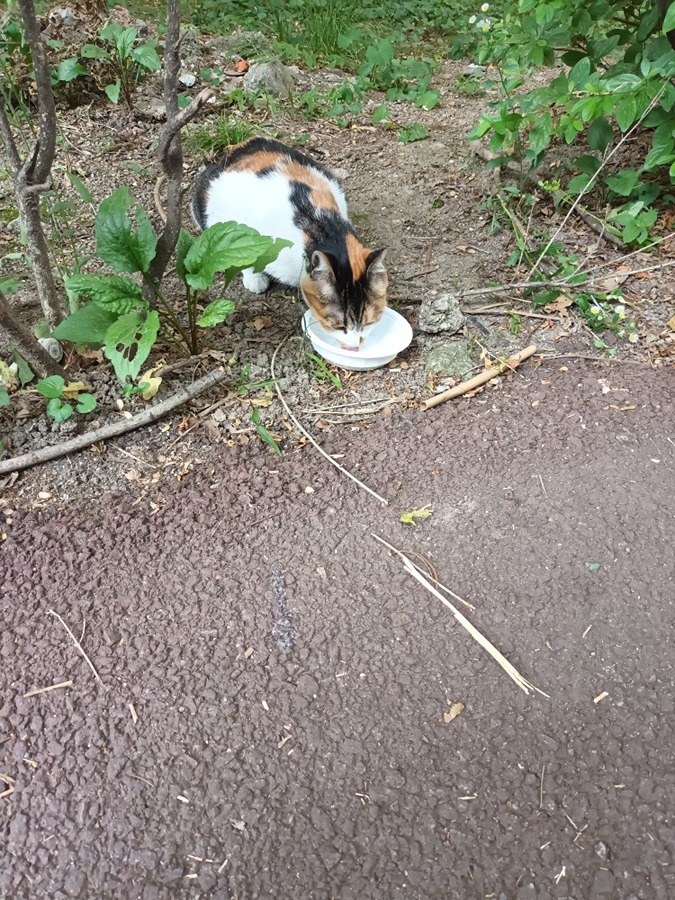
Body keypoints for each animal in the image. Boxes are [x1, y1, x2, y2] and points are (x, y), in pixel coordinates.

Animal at [193, 135, 388, 346]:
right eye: (338, 326)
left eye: (368, 323)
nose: (354, 346)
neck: (322, 228)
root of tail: (245, 143)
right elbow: (244, 252)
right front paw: (254, 279)